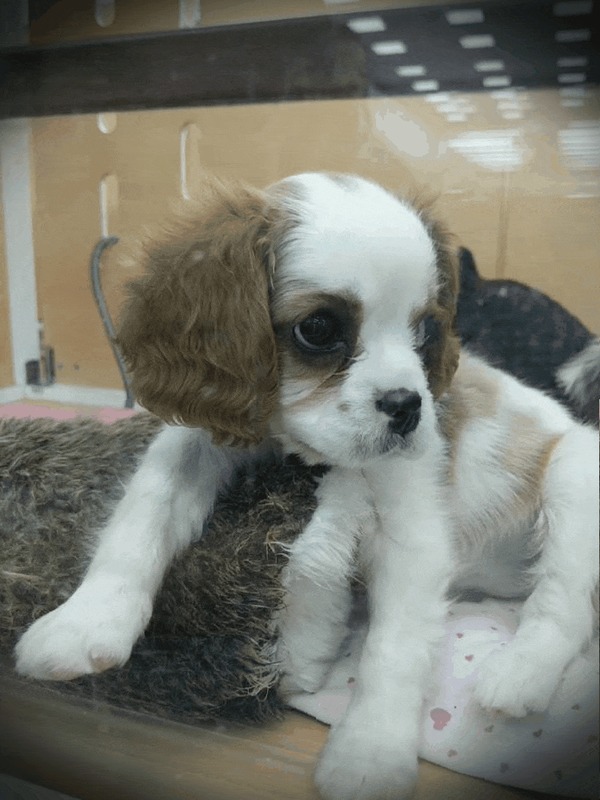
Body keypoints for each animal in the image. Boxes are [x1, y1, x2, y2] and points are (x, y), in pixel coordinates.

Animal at [15, 174, 598, 800]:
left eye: (425, 329)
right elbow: (142, 510)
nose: (408, 407)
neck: (298, 449)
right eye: (317, 329)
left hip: (573, 471)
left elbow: (392, 649)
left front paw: (371, 751)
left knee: (566, 607)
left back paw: (519, 674)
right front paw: (85, 621)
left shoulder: (412, 533)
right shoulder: (197, 439)